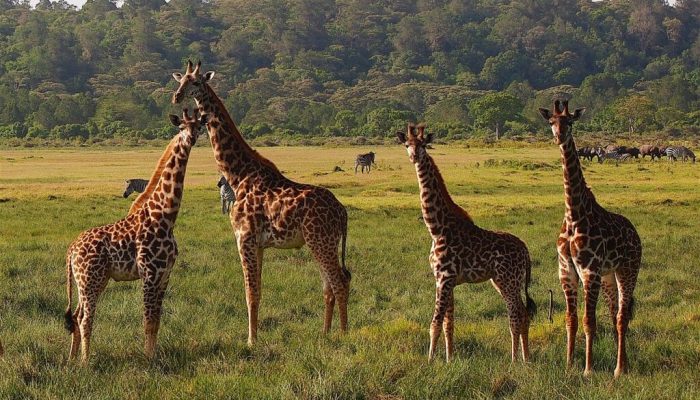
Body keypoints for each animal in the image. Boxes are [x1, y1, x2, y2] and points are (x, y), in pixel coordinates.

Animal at [63, 109, 206, 362]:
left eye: (199, 126)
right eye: (181, 127)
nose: (190, 138)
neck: (165, 216)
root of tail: (71, 249)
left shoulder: (165, 275)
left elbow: (156, 321)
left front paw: (154, 355)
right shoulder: (149, 274)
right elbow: (147, 321)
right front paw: (148, 360)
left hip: (93, 280)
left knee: (76, 315)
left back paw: (72, 359)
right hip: (89, 279)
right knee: (85, 318)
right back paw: (86, 361)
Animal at [171, 61, 351, 345]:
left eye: (196, 82)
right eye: (180, 81)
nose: (176, 97)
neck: (238, 174)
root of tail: (342, 212)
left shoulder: (244, 237)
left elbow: (250, 292)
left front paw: (250, 341)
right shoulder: (260, 244)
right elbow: (258, 291)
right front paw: (253, 337)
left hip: (320, 241)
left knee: (339, 282)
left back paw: (343, 335)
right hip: (323, 242)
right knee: (329, 286)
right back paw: (324, 333)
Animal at [396, 124, 536, 363]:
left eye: (423, 144)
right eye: (407, 144)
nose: (414, 156)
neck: (437, 228)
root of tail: (525, 251)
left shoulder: (444, 278)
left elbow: (434, 323)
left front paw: (430, 361)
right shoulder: (445, 280)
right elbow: (448, 324)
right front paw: (449, 359)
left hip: (508, 281)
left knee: (516, 316)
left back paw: (514, 360)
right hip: (503, 281)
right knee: (523, 314)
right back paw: (525, 359)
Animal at [538, 100, 642, 378]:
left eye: (570, 122)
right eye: (551, 121)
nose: (560, 136)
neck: (574, 214)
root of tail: (635, 233)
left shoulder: (589, 271)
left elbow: (589, 322)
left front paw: (588, 369)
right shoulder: (567, 271)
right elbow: (571, 320)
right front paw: (568, 365)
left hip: (627, 269)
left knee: (621, 317)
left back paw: (618, 369)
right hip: (608, 276)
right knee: (615, 313)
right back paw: (626, 364)